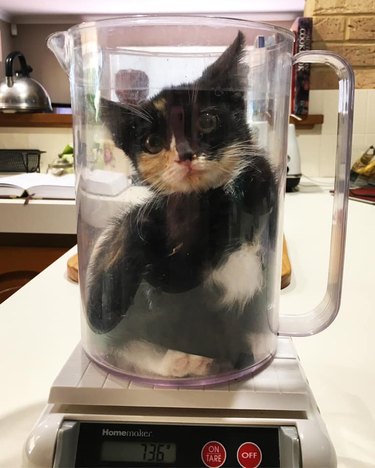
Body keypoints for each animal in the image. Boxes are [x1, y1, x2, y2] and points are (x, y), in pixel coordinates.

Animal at [85, 31, 280, 378]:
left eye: (207, 120)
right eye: (152, 142)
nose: (186, 154)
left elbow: (260, 180)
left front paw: (248, 179)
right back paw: (186, 360)